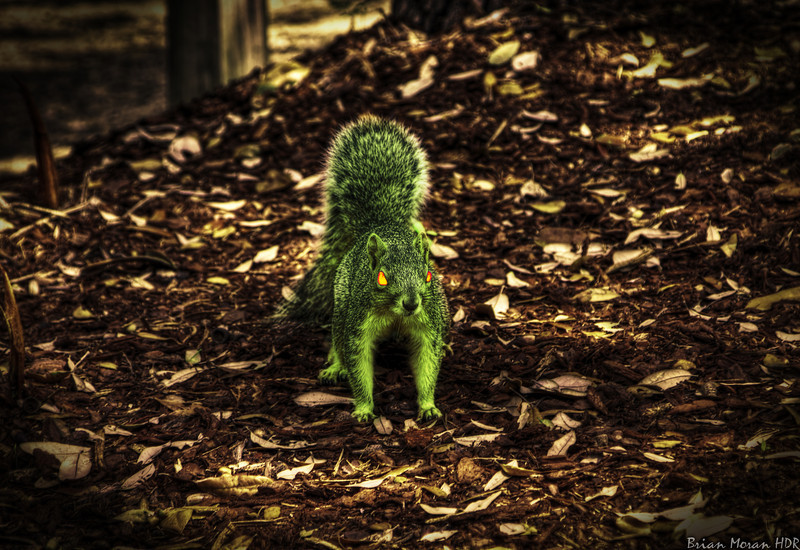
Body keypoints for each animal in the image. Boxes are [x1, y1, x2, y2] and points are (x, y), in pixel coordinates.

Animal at [278, 115, 449, 422]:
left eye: (429, 274)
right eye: (381, 278)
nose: (410, 303)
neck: (395, 314)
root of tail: (378, 224)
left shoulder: (428, 324)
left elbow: (428, 361)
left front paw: (428, 405)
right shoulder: (358, 325)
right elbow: (357, 363)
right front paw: (364, 408)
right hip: (342, 310)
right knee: (337, 341)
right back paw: (335, 367)